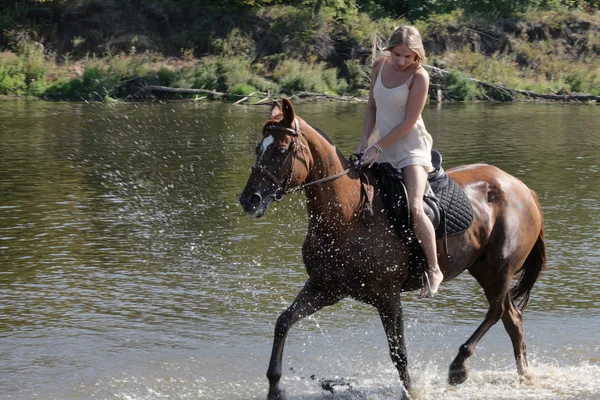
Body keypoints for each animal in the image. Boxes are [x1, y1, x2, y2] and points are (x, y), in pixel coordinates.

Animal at [238, 97, 544, 400]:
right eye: (258, 148)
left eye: (280, 150)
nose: (249, 200)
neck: (350, 216)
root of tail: (524, 189)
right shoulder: (325, 288)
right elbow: (283, 321)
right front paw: (274, 387)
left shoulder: (387, 297)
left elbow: (398, 352)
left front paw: (411, 392)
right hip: (483, 269)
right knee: (512, 318)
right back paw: (524, 376)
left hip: (500, 267)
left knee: (496, 311)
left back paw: (459, 367)